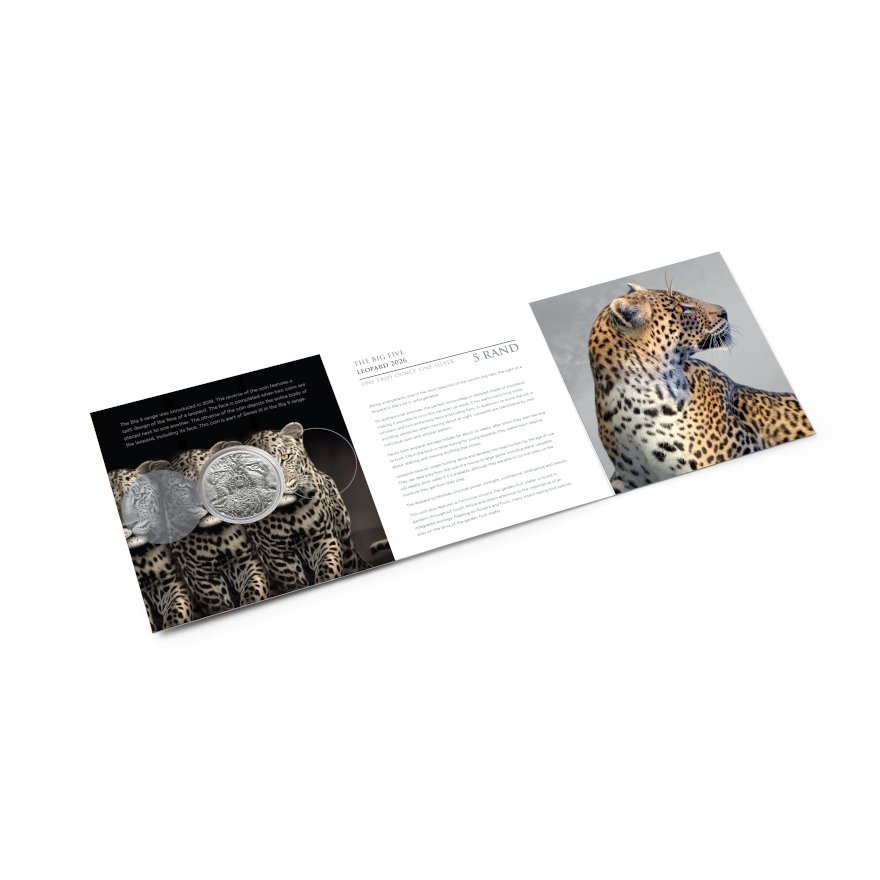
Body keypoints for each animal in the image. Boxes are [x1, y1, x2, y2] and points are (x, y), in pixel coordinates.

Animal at [167, 444, 272, 615]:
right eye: (181, 486)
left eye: (218, 474)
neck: (216, 535)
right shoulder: (202, 579)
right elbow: (219, 604)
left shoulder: (246, 560)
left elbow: (254, 588)